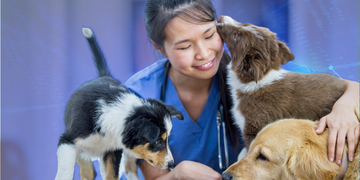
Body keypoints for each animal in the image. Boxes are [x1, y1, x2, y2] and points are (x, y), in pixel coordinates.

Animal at [54, 27, 184, 180]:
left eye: (167, 139)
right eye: (158, 141)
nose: (172, 164)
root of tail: (103, 76)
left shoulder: (112, 151)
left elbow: (112, 175)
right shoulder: (67, 141)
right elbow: (65, 172)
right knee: (88, 170)